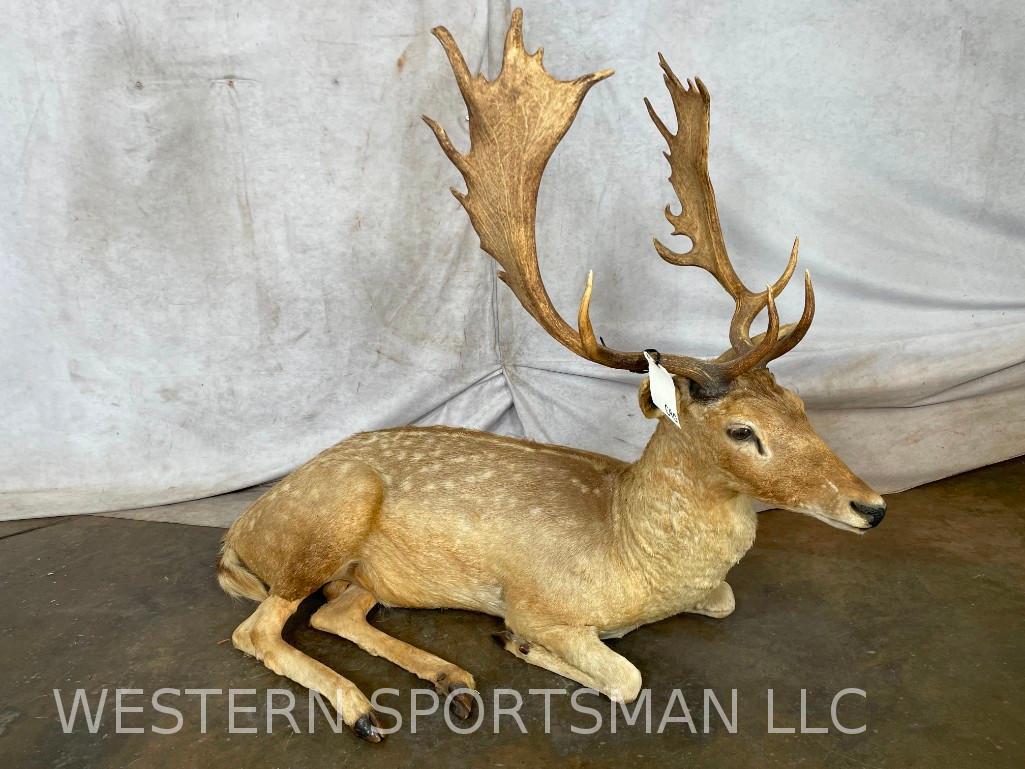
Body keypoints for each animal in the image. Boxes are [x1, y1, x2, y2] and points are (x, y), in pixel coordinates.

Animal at [217, 8, 886, 743]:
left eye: (798, 403)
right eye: (743, 430)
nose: (872, 506)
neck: (628, 551)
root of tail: (239, 531)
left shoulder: (705, 592)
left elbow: (726, 600)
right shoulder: (539, 598)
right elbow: (624, 675)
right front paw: (518, 642)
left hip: (358, 572)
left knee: (336, 611)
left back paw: (452, 679)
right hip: (323, 523)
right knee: (260, 628)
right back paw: (363, 708)